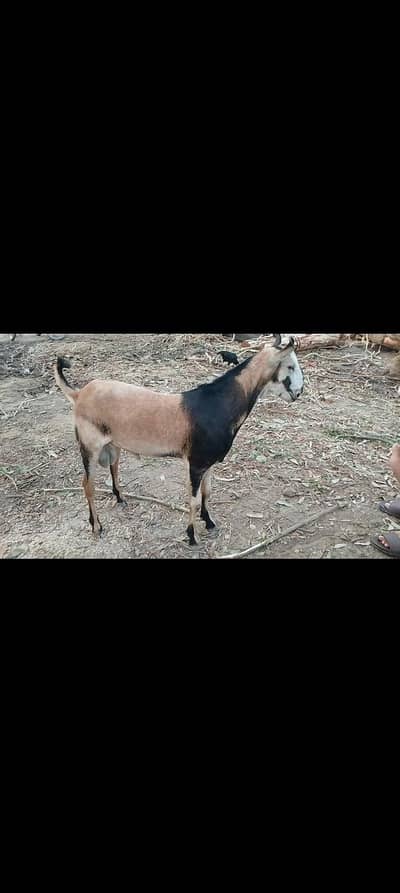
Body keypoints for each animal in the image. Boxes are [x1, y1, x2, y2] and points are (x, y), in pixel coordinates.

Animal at [54, 334, 304, 546]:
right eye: (290, 366)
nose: (299, 392)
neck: (218, 405)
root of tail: (79, 394)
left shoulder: (209, 463)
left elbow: (207, 492)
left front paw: (209, 521)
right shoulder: (195, 463)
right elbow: (193, 499)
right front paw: (192, 536)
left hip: (113, 444)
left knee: (114, 467)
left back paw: (120, 497)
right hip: (89, 446)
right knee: (88, 485)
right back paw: (96, 526)